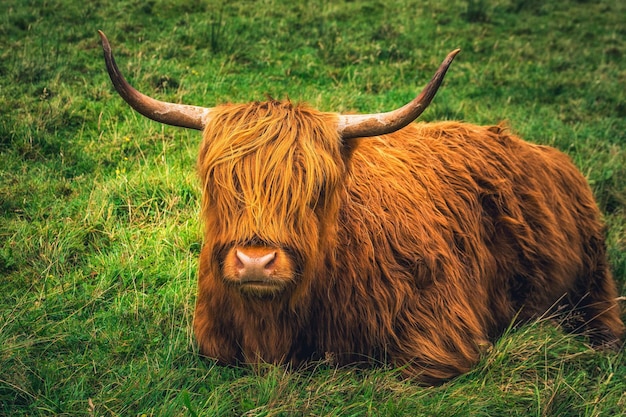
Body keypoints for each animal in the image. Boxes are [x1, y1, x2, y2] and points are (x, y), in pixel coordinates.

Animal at [100, 31, 620, 384]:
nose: (255, 261)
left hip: (593, 290)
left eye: (317, 188)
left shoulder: (443, 339)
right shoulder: (212, 343)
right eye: (218, 183)